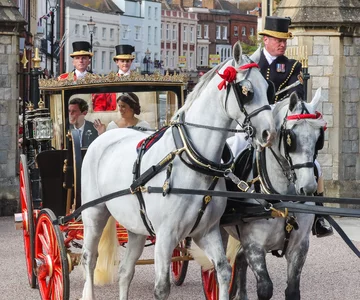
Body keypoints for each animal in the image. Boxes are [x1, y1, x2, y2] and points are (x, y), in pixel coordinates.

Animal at [80, 42, 274, 300]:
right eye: (246, 91)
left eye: (268, 87)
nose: (269, 133)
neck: (193, 162)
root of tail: (106, 134)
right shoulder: (165, 235)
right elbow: (162, 287)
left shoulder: (207, 231)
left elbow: (222, 271)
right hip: (94, 213)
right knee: (89, 259)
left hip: (136, 225)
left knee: (125, 271)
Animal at [226, 89, 328, 300]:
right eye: (291, 138)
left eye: (318, 139)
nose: (308, 188)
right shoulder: (254, 246)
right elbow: (265, 288)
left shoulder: (299, 247)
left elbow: (292, 290)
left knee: (239, 260)